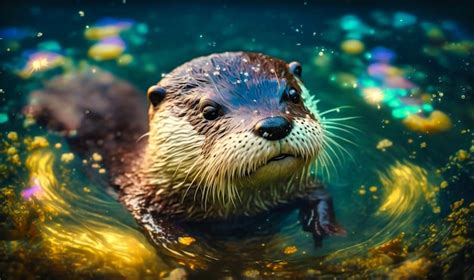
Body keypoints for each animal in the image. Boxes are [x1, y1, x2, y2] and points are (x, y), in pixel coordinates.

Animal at [25, 52, 344, 247]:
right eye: (209, 111)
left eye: (292, 95)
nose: (275, 125)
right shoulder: (142, 200)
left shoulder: (296, 186)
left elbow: (321, 193)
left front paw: (326, 228)